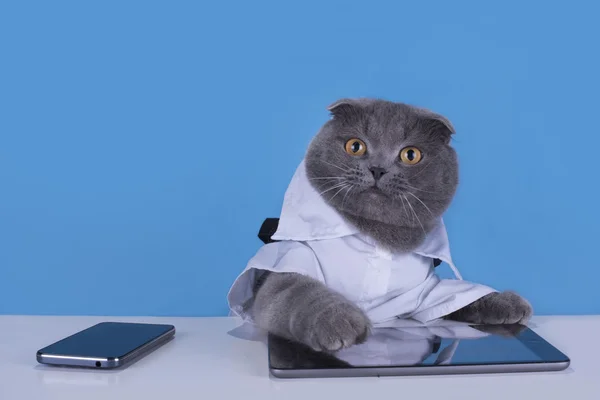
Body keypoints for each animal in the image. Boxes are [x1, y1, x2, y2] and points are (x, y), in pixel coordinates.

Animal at [251, 98, 532, 352]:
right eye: (355, 146)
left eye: (411, 155)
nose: (377, 169)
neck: (377, 235)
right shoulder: (289, 265)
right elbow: (301, 291)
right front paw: (339, 321)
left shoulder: (427, 291)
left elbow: (462, 295)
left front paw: (507, 302)